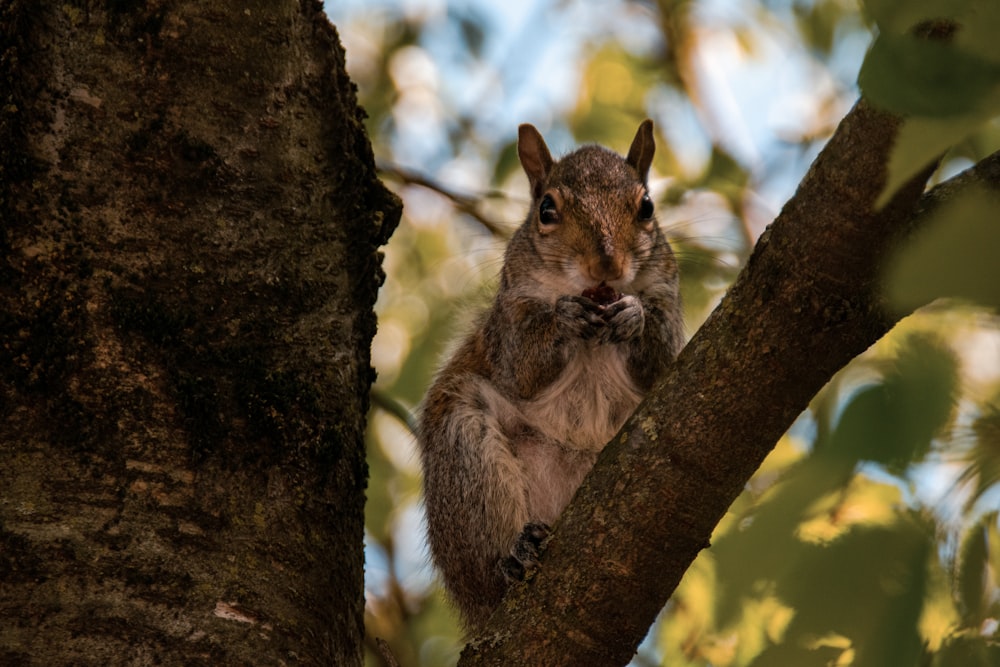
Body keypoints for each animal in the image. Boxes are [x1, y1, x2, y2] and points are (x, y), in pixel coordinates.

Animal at [416, 121, 688, 632]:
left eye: (647, 207)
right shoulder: (509, 319)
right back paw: (515, 556)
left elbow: (663, 359)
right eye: (546, 209)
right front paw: (565, 318)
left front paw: (634, 315)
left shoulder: (669, 304)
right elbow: (522, 366)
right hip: (465, 453)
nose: (606, 266)